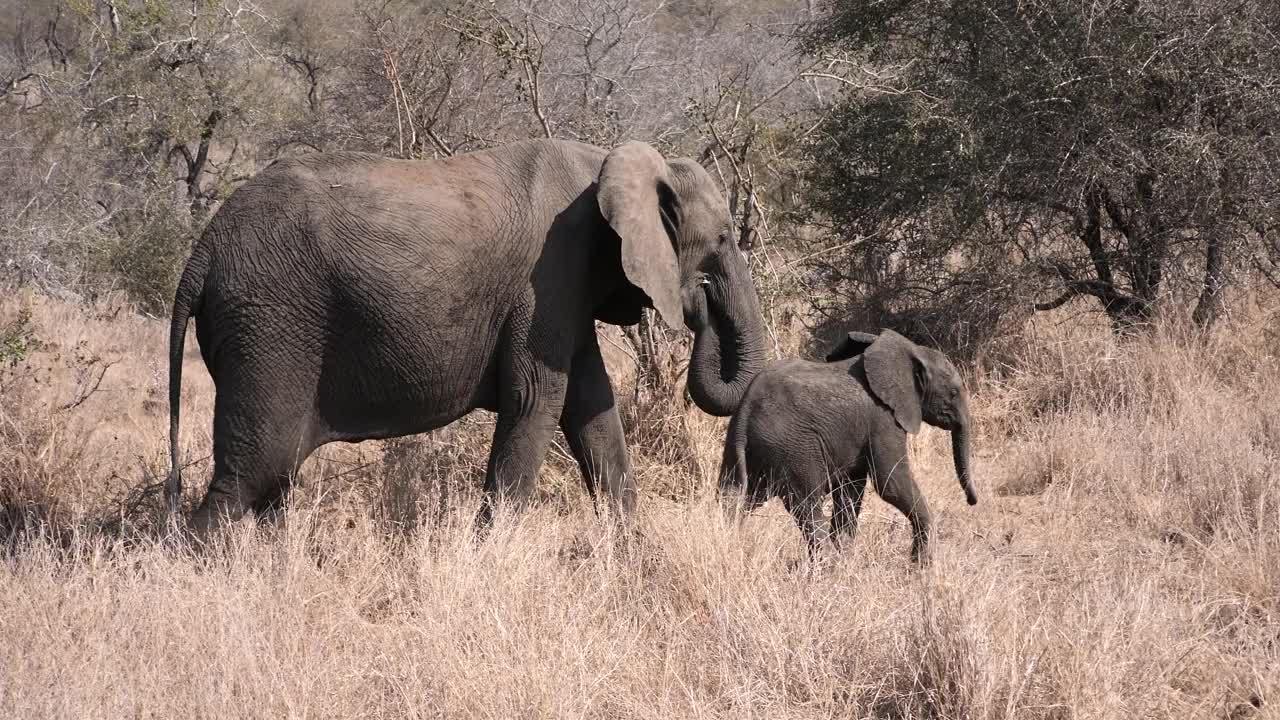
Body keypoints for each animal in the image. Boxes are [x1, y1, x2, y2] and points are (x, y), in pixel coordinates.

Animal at [170, 139, 768, 527]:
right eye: (720, 240)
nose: (702, 306)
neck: (608, 159)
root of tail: (201, 251)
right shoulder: (547, 279)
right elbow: (536, 399)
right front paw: (494, 553)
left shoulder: (567, 293)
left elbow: (592, 408)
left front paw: (632, 552)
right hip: (268, 322)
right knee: (253, 472)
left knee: (275, 478)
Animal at [721, 327, 977, 558]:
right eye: (954, 393)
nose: (972, 501)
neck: (912, 351)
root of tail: (745, 411)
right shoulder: (882, 419)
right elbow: (891, 483)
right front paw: (922, 566)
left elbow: (850, 490)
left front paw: (847, 555)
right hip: (794, 448)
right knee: (807, 505)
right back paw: (829, 566)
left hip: (741, 447)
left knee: (734, 497)